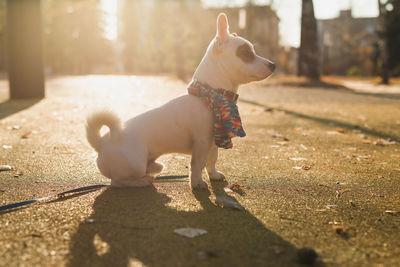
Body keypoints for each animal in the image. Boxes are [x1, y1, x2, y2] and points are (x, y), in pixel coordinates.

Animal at [86, 12, 276, 188]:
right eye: (246, 53)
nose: (273, 65)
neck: (211, 96)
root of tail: (101, 143)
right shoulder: (201, 143)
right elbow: (197, 164)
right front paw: (197, 183)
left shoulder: (213, 142)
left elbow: (212, 160)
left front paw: (213, 175)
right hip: (135, 164)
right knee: (117, 182)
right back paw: (142, 181)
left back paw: (151, 172)